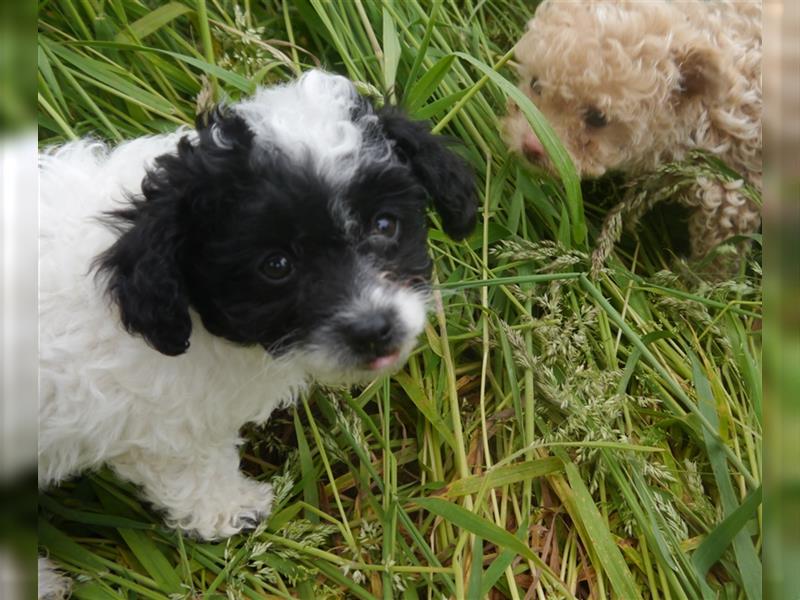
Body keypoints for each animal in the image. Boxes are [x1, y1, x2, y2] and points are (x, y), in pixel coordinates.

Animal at [39, 71, 476, 548]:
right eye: (276, 266)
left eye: (384, 225)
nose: (374, 329)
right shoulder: (161, 428)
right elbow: (194, 469)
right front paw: (230, 510)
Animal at [506, 1, 764, 262]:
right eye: (535, 84)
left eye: (598, 118)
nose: (531, 146)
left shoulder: (731, 198)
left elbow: (719, 255)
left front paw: (691, 273)